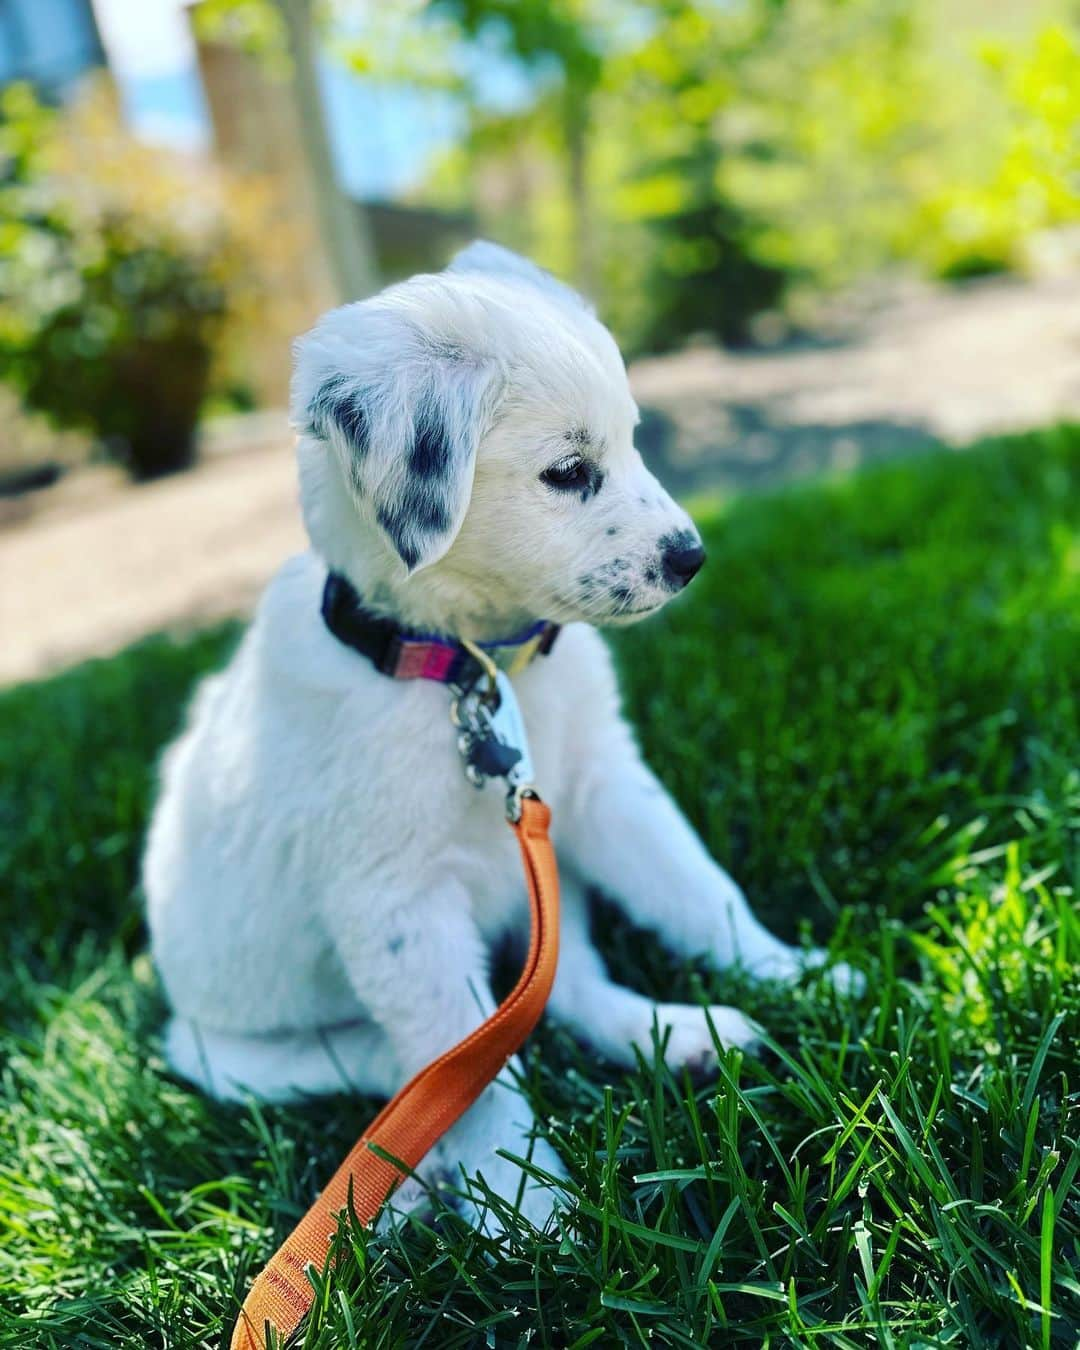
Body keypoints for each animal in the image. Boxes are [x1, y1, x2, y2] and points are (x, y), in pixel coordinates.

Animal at [141, 243, 842, 1236]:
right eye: (568, 470)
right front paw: (528, 1208)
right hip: (228, 1050)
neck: (474, 669)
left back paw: (679, 1034)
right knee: (402, 1066)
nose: (691, 558)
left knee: (563, 989)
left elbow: (699, 889)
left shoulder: (600, 787)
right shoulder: (394, 903)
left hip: (549, 884)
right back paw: (420, 1182)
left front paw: (794, 972)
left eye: (632, 438)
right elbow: (460, 1070)